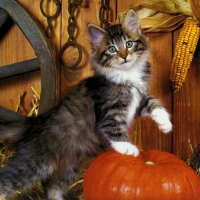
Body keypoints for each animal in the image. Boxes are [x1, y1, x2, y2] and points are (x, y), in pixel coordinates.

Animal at [0, 9, 172, 200]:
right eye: (112, 49)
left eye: (128, 44)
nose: (124, 56)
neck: (127, 73)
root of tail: (34, 120)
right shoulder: (109, 110)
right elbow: (114, 128)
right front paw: (127, 148)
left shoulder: (138, 99)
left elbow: (154, 103)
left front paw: (165, 124)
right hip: (37, 161)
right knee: (7, 179)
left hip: (71, 164)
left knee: (53, 187)